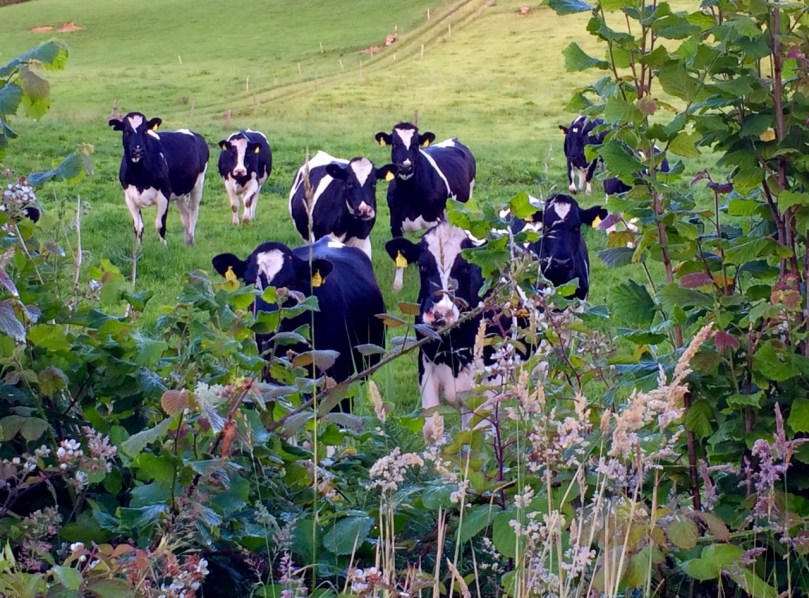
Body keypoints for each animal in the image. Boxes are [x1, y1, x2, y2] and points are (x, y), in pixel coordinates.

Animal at [109, 112, 209, 245]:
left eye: (145, 131)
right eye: (127, 131)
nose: (138, 150)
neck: (139, 176)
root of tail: (195, 134)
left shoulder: (164, 194)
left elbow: (160, 225)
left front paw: (164, 247)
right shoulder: (129, 197)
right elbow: (138, 227)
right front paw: (138, 249)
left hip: (198, 184)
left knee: (193, 212)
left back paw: (191, 240)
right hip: (179, 191)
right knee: (185, 215)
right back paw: (187, 242)